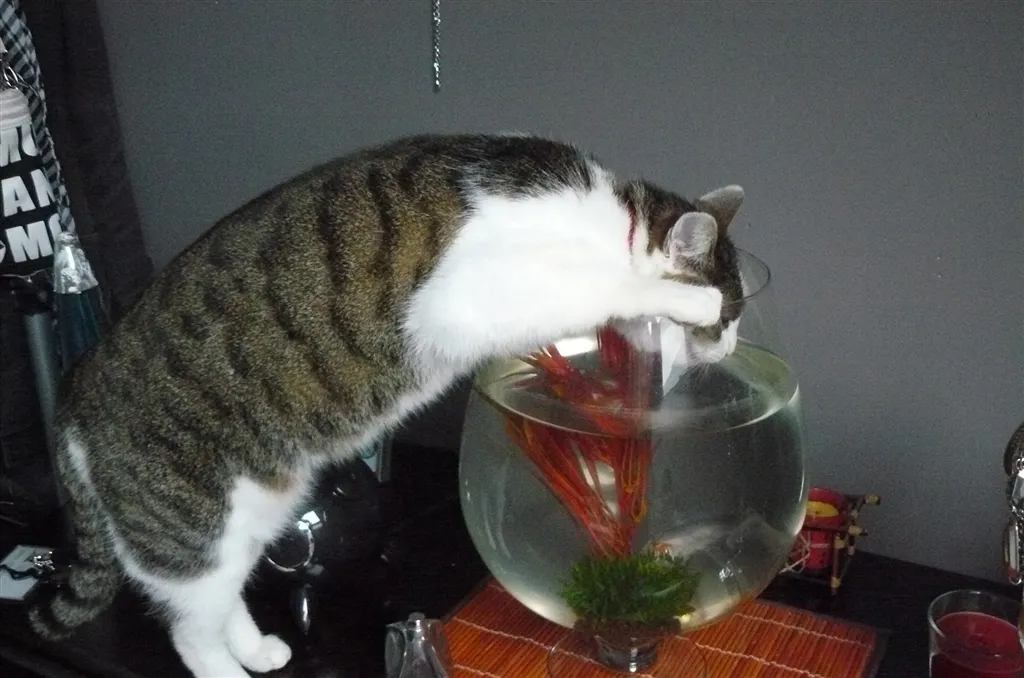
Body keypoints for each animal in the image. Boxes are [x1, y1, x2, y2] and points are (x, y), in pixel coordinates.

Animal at [28, 133, 747, 678]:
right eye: (725, 320)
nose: (732, 343)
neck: (609, 222)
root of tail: (75, 394)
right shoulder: (469, 295)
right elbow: (608, 287)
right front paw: (684, 298)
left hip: (252, 513)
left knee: (223, 597)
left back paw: (259, 650)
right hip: (187, 529)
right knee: (189, 630)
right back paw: (226, 669)